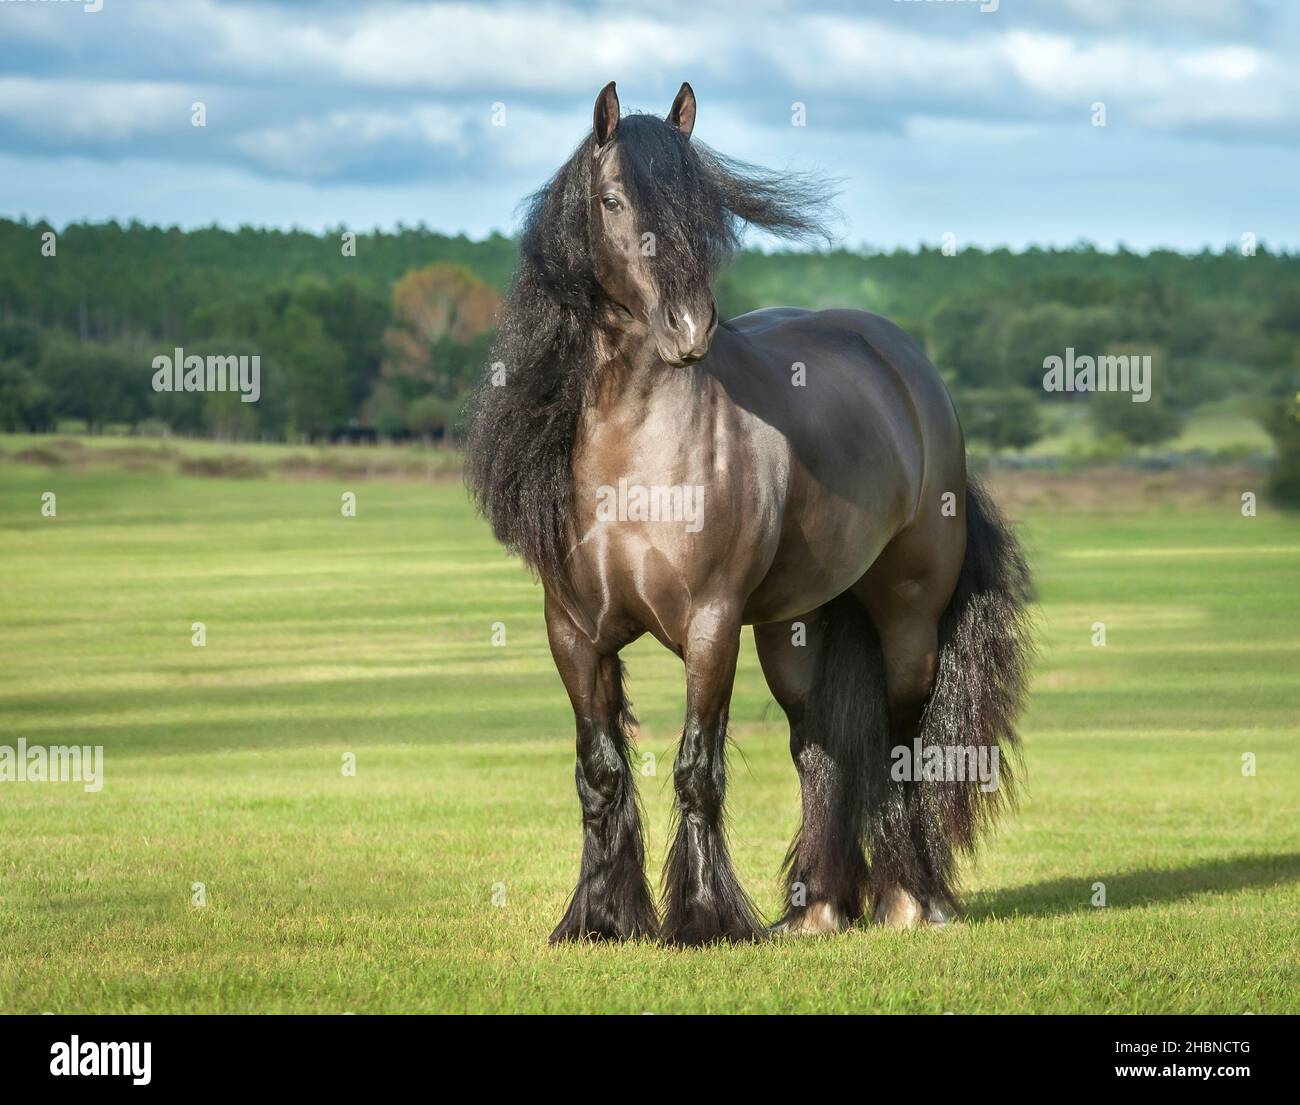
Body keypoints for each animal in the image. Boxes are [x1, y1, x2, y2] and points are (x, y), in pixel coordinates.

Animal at [465, 81, 1032, 946]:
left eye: (703, 206)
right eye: (613, 199)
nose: (688, 329)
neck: (635, 459)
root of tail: (910, 370)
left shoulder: (711, 624)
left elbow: (698, 767)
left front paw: (704, 916)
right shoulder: (573, 632)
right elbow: (601, 771)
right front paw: (599, 918)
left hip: (906, 621)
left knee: (902, 739)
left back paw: (912, 899)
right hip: (795, 629)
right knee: (819, 746)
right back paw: (817, 909)